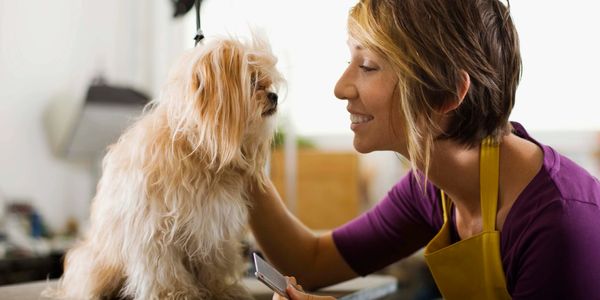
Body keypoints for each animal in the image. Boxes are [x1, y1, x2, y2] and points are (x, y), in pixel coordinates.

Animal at [44, 34, 284, 298]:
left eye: (268, 82)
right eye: (253, 81)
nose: (274, 96)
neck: (198, 152)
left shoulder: (212, 229)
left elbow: (213, 266)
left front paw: (222, 290)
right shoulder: (154, 231)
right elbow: (164, 271)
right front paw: (178, 293)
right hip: (98, 265)